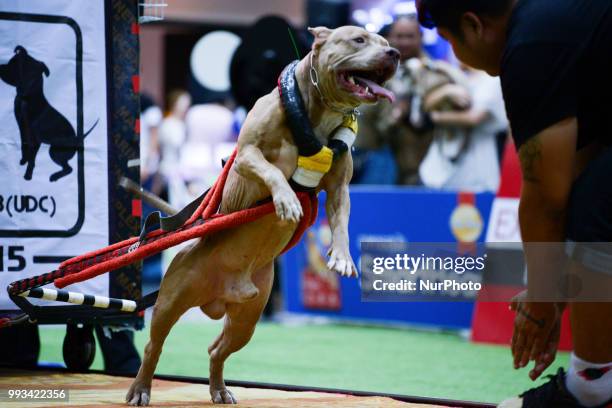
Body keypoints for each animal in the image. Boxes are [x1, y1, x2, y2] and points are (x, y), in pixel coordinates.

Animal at [126, 25, 400, 404]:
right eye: (358, 40)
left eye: (386, 43)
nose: (394, 54)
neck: (316, 111)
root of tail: (218, 296)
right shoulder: (247, 154)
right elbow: (271, 172)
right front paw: (286, 200)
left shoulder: (340, 187)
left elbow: (341, 221)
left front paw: (342, 257)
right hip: (171, 301)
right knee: (154, 345)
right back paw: (140, 389)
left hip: (246, 320)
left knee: (217, 350)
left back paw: (220, 390)